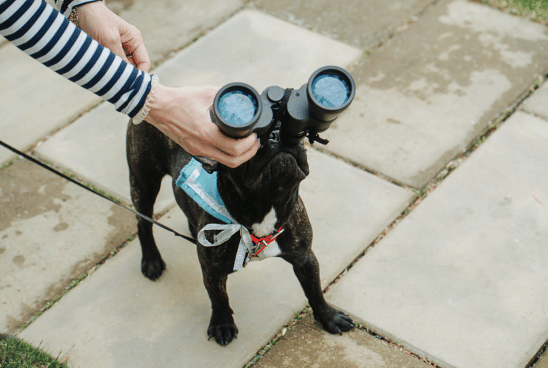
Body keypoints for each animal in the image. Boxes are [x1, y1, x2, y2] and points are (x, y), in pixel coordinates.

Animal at [126, 120, 354, 344]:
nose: (277, 135)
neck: (265, 207)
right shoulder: (213, 271)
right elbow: (219, 298)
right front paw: (222, 325)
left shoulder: (305, 257)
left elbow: (314, 290)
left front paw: (329, 317)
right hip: (143, 180)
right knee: (143, 222)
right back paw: (151, 260)